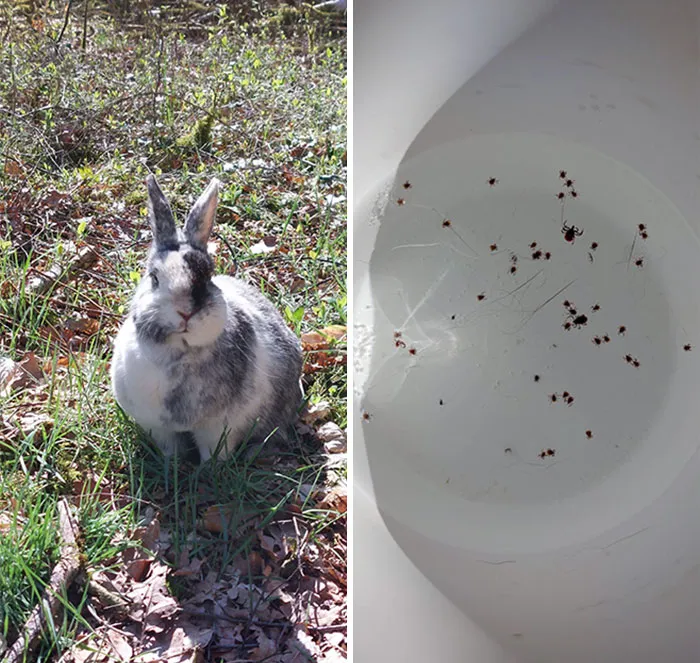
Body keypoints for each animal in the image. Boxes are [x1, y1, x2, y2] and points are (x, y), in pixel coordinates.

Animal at [110, 175, 304, 461]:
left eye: (208, 275)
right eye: (154, 278)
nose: (185, 311)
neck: (178, 351)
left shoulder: (218, 430)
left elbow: (214, 453)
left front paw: (209, 468)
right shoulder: (158, 428)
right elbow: (170, 449)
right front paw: (173, 464)